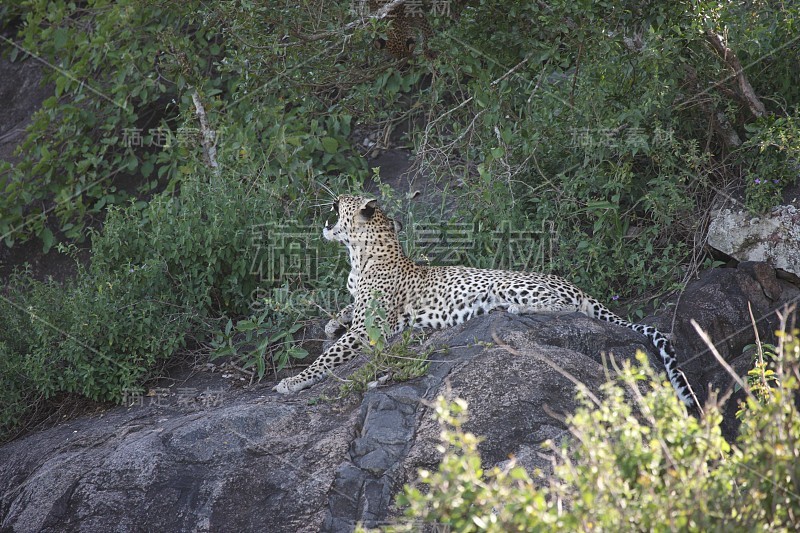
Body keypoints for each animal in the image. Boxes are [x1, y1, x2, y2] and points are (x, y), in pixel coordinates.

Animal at [274, 195, 700, 416]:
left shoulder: (371, 329)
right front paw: (331, 323)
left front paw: (292, 382)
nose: (328, 199)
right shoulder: (360, 309)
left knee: (567, 307)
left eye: (343, 201)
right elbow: (344, 311)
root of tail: (574, 283)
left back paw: (509, 310)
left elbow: (327, 358)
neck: (359, 255)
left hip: (514, 284)